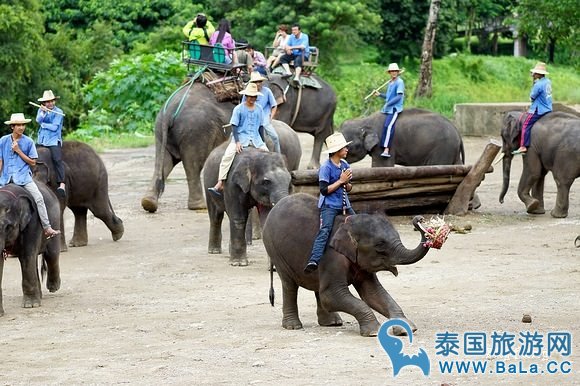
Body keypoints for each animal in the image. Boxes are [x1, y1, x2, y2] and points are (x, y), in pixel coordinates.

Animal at [0, 182, 61, 316]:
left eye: (8, 227)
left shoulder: (33, 222)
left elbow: (27, 256)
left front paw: (30, 306)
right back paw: (41, 296)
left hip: (55, 220)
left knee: (51, 254)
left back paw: (53, 288)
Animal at [203, 120, 302, 266]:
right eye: (266, 182)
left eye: (290, 181)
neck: (255, 156)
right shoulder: (232, 183)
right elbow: (238, 217)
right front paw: (239, 263)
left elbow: (266, 217)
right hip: (207, 184)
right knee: (216, 216)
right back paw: (214, 251)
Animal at [262, 195, 430, 336]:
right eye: (380, 245)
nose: (419, 219)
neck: (348, 225)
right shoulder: (331, 257)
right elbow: (331, 295)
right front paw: (373, 332)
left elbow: (372, 293)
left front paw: (406, 329)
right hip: (275, 250)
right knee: (289, 285)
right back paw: (293, 326)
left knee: (316, 285)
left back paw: (332, 323)